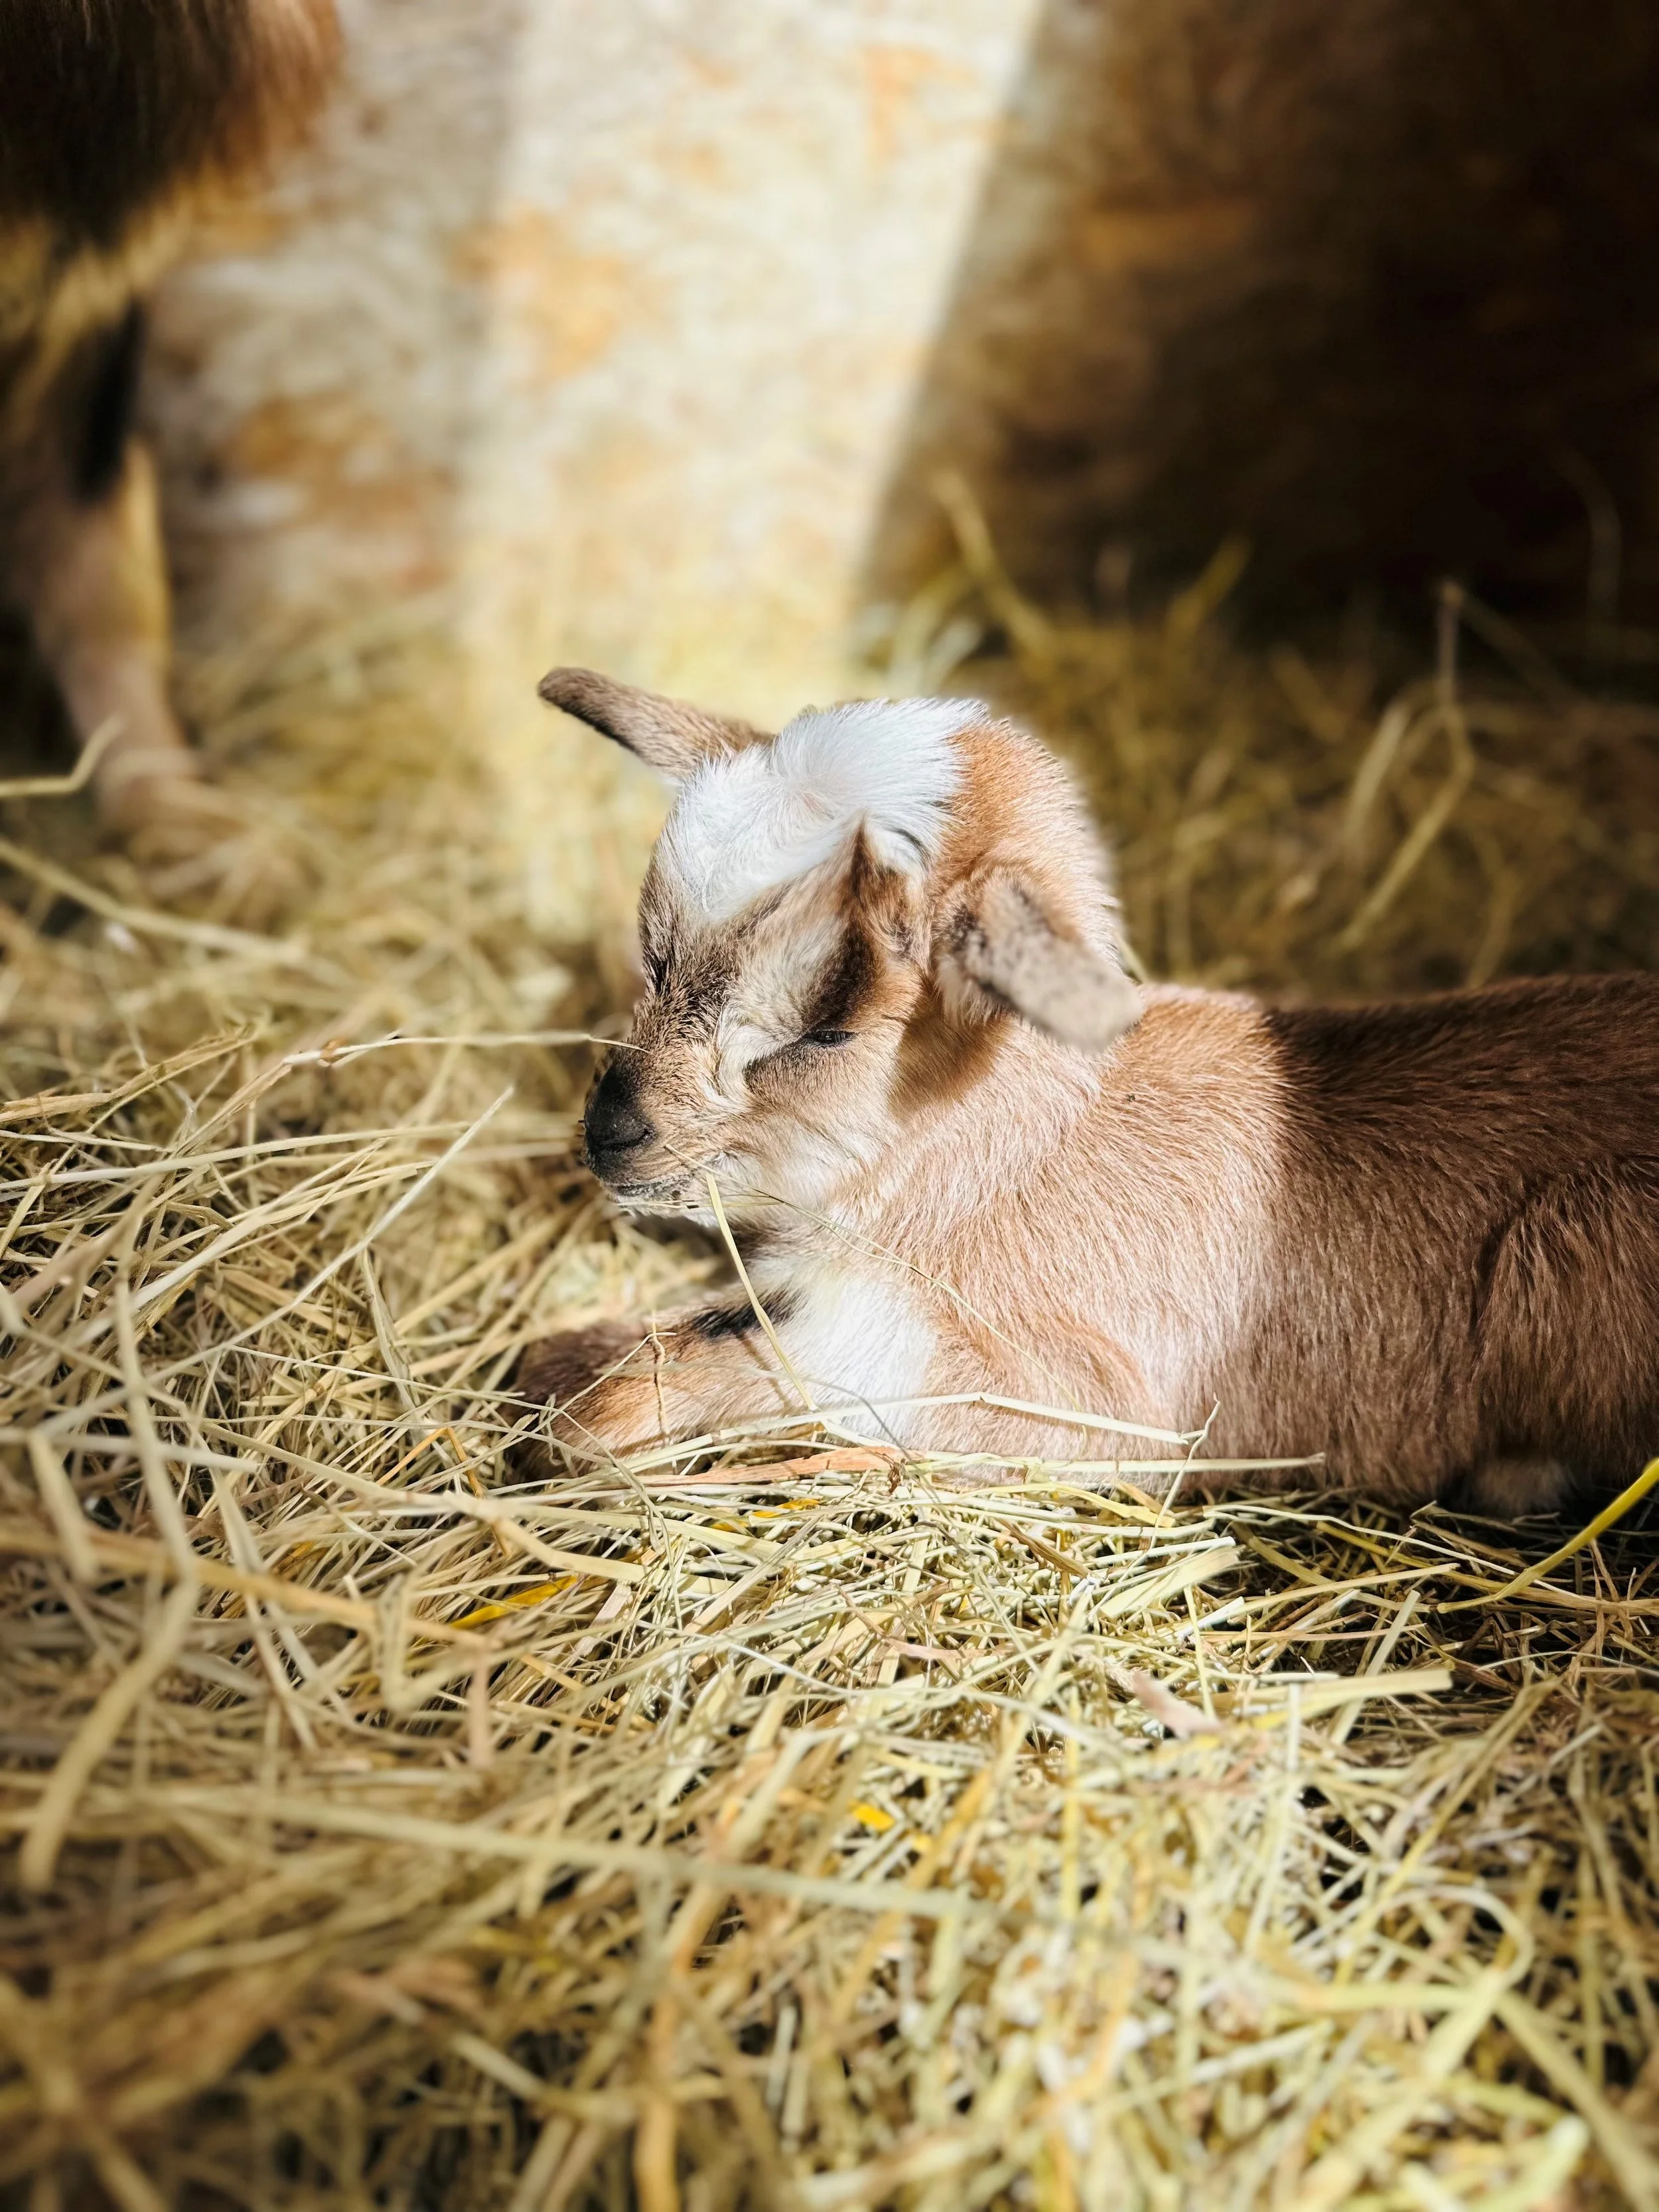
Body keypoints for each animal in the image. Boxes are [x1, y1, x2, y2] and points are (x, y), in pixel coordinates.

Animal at [520, 667, 1659, 1515]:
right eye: (655, 959)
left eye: (829, 1027)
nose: (611, 1131)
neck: (1016, 1153)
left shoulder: (1104, 1403)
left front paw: (579, 1411)